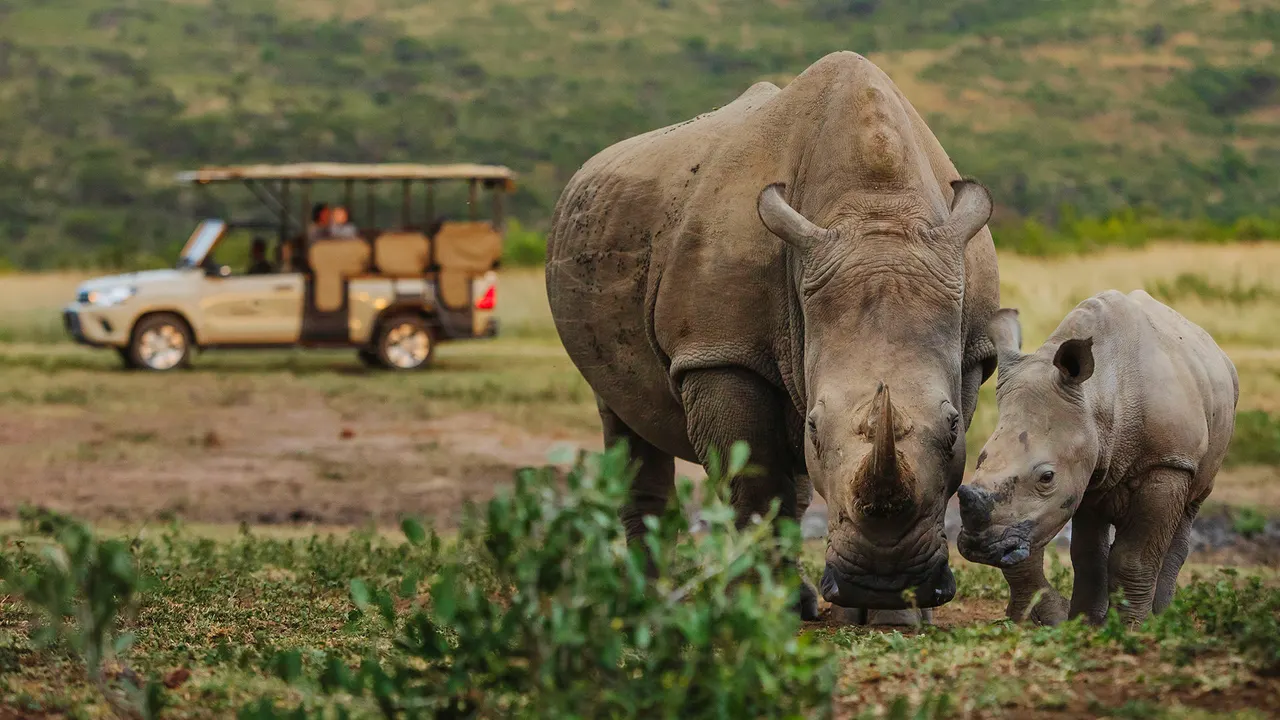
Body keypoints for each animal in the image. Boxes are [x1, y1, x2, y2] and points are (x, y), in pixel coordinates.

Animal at [546, 52, 1000, 623]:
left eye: (954, 425)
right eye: (814, 427)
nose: (883, 581)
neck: (877, 211)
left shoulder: (970, 350)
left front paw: (895, 617)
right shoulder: (719, 352)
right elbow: (755, 485)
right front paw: (759, 612)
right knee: (622, 414)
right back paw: (645, 603)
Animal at [957, 290, 1238, 626]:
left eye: (1047, 477)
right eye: (981, 458)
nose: (978, 547)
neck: (1100, 394)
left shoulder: (1167, 462)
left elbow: (1135, 557)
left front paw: (1131, 627)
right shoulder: (1089, 469)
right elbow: (1086, 555)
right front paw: (1085, 625)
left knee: (1190, 508)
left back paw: (1163, 616)